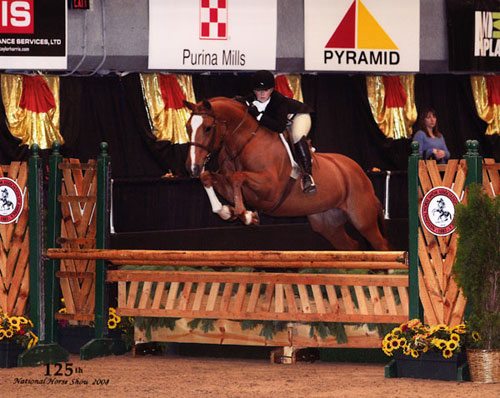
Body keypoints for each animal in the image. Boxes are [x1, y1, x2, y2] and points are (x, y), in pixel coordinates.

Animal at [185, 97, 390, 250]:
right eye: (187, 127)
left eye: (208, 128)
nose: (191, 168)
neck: (244, 142)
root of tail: (359, 172)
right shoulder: (229, 183)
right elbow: (209, 178)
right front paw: (227, 212)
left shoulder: (270, 189)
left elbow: (238, 177)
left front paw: (246, 215)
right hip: (327, 223)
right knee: (351, 246)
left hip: (363, 219)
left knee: (381, 245)